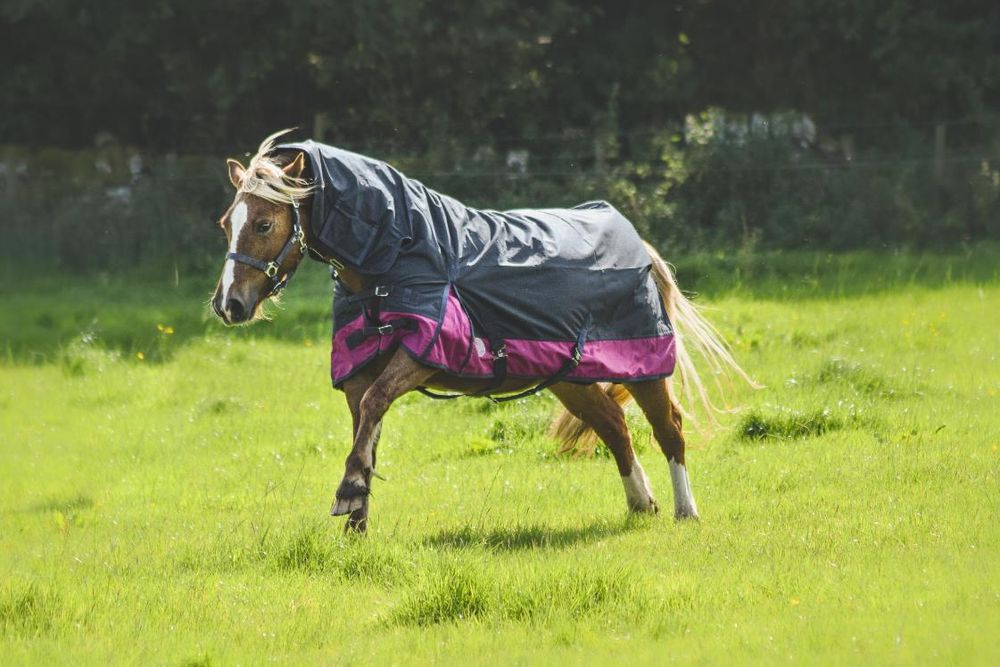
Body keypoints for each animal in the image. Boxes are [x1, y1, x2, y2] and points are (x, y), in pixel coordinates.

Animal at [211, 131, 751, 533]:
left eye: (264, 223)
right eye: (225, 224)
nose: (228, 305)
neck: (399, 253)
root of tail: (639, 244)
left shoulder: (422, 352)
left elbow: (374, 410)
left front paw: (348, 495)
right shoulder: (360, 370)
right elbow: (366, 427)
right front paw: (356, 518)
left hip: (644, 367)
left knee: (668, 427)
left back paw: (684, 511)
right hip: (568, 379)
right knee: (614, 426)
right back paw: (642, 505)